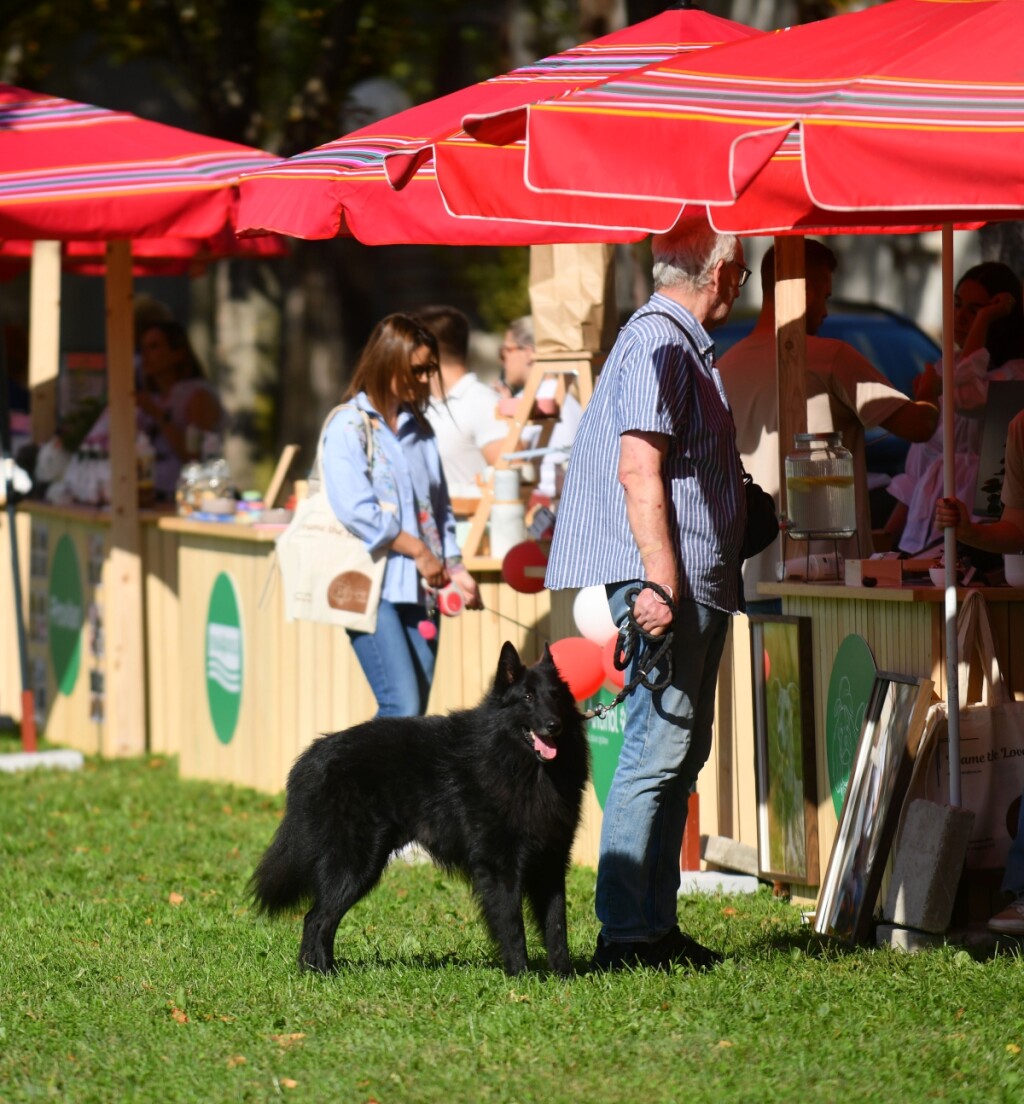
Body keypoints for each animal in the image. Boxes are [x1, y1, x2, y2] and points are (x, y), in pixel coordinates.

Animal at [249, 640, 587, 975]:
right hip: (357, 864)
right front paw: (521, 976)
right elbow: (512, 925)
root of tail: (311, 757)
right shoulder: (500, 866)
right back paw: (320, 973)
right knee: (316, 919)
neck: (517, 762)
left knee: (317, 919)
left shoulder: (552, 861)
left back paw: (320, 971)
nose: (554, 725)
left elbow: (557, 926)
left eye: (556, 696)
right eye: (527, 697)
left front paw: (564, 976)